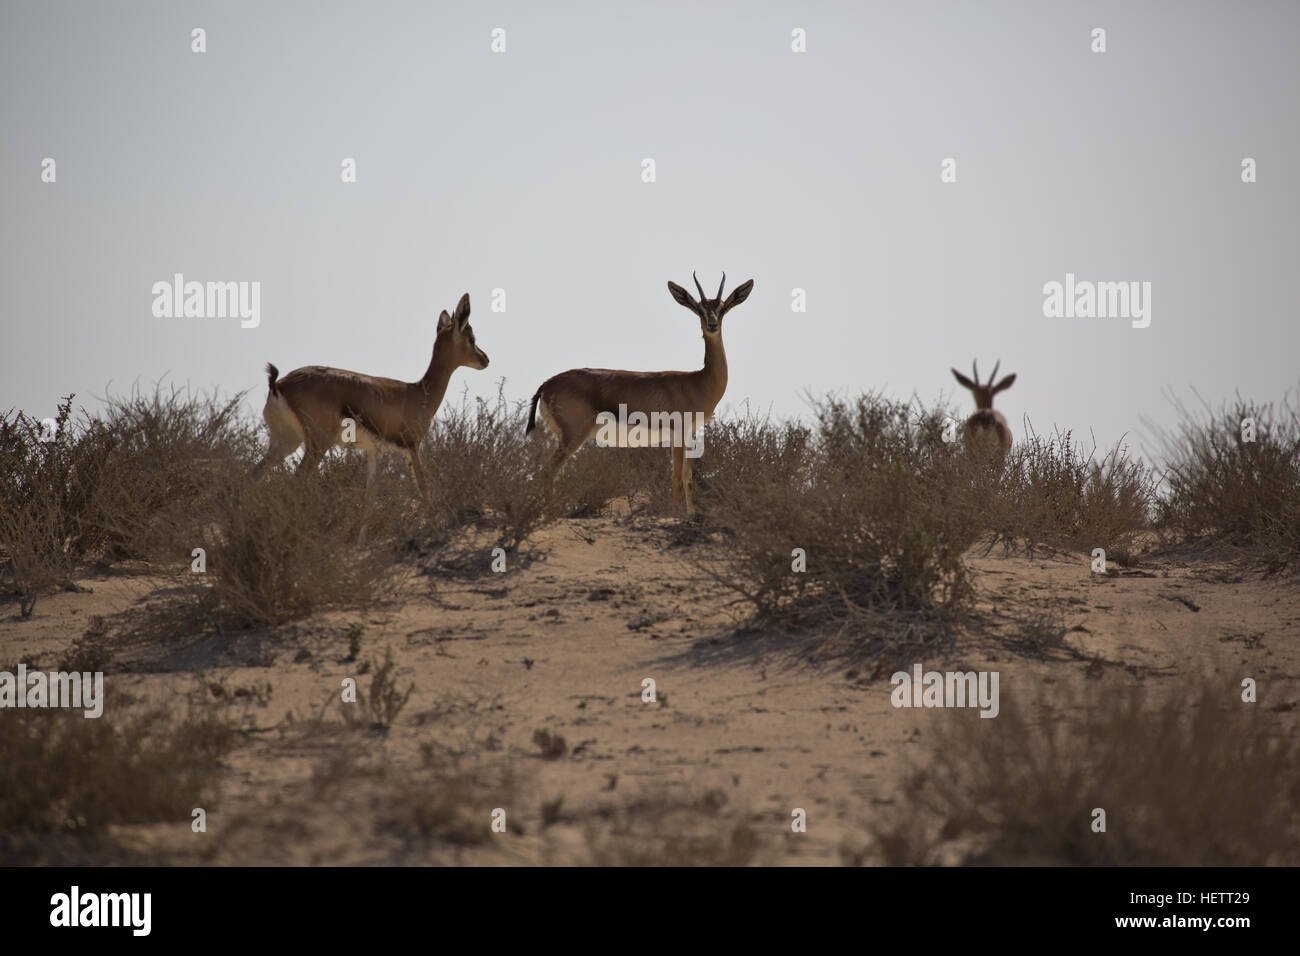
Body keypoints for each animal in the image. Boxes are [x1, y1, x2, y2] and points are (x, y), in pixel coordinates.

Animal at [254, 293, 489, 498]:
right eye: (471, 338)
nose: (485, 359)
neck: (419, 392)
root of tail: (280, 384)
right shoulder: (413, 447)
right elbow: (424, 490)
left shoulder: (375, 452)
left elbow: (369, 497)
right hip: (316, 443)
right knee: (296, 480)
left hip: (285, 441)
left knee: (254, 474)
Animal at [525, 272, 754, 514]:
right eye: (699, 309)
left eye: (722, 308)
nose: (712, 325)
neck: (698, 381)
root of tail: (546, 384)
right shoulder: (678, 433)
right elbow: (676, 476)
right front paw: (674, 515)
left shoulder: (688, 434)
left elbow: (688, 477)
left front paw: (690, 515)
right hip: (574, 436)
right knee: (549, 471)